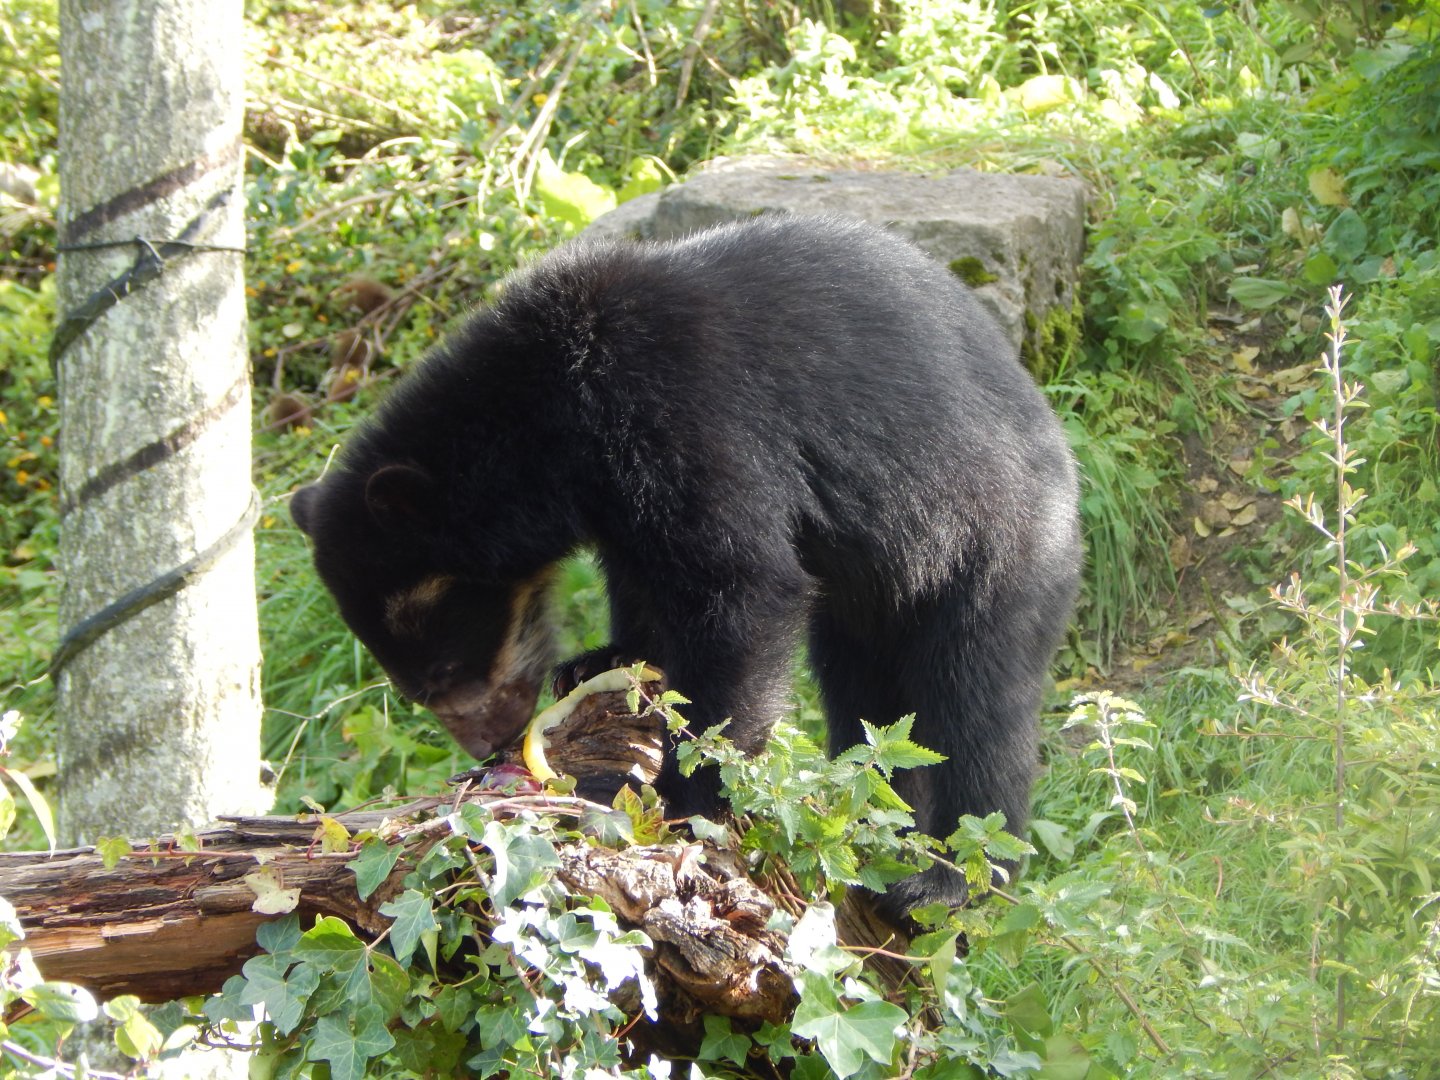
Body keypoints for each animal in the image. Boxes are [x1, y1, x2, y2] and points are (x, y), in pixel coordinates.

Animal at [289, 213, 1082, 919]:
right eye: (421, 690)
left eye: (444, 674)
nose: (492, 744)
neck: (552, 416)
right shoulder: (618, 496)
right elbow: (643, 579)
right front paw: (601, 661)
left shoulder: (680, 412)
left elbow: (742, 587)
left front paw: (677, 794)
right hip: (869, 601)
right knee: (871, 708)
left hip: (992, 550)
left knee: (978, 706)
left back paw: (945, 881)